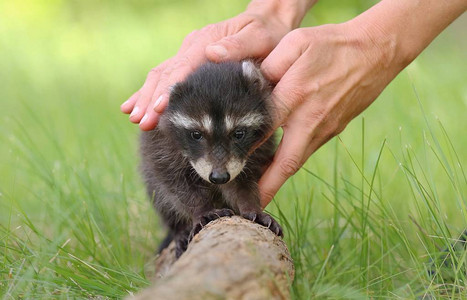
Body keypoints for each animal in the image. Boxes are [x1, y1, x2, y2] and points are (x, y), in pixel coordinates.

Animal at [141, 61, 284, 258]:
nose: (219, 177)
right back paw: (178, 229)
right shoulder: (160, 146)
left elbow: (242, 181)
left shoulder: (256, 150)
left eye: (239, 133)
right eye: (196, 134)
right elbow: (175, 183)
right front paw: (201, 208)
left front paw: (250, 205)